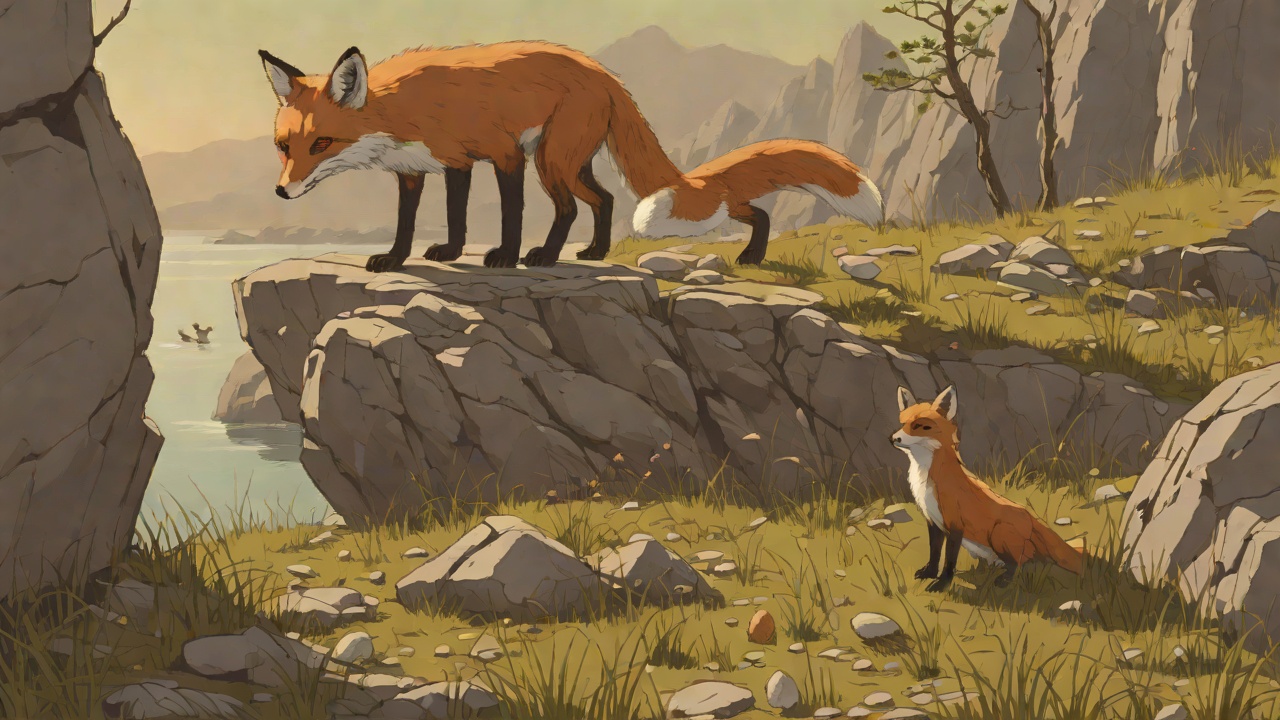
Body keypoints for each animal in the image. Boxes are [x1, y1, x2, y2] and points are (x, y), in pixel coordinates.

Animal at [258, 42, 685, 271]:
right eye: (283, 147)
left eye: (321, 143)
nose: (281, 192)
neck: (404, 109)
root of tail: (603, 72)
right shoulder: (429, 167)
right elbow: (425, 220)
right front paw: (406, 258)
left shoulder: (506, 155)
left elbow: (510, 214)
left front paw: (506, 256)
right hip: (570, 163)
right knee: (605, 199)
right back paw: (596, 252)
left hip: (550, 163)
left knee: (570, 208)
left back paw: (547, 255)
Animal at [631, 139, 884, 265]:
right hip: (732, 205)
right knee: (760, 215)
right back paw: (750, 257)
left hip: (721, 206)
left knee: (761, 216)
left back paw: (749, 259)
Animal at [891, 386, 1085, 591]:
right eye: (903, 423)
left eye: (922, 426)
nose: (894, 438)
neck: (927, 480)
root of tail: (1030, 519)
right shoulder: (934, 522)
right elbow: (934, 554)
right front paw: (928, 573)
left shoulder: (956, 525)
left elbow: (949, 561)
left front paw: (941, 584)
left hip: (999, 534)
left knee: (1019, 565)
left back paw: (1004, 581)